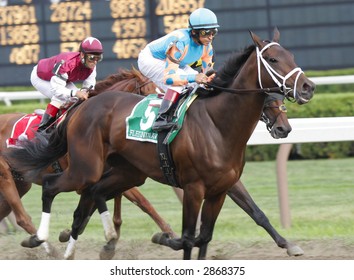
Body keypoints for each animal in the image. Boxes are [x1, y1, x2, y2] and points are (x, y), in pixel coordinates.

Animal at [2, 29, 312, 260]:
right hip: (81, 169)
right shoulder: (194, 188)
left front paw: (289, 244)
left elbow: (230, 224)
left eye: (291, 55)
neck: (217, 124)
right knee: (52, 188)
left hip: (123, 172)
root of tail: (81, 108)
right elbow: (188, 237)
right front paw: (163, 237)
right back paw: (42, 240)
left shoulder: (221, 188)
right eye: (272, 59)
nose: (308, 87)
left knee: (88, 196)